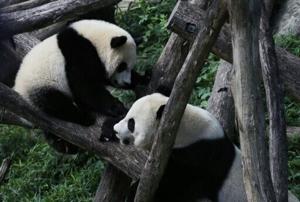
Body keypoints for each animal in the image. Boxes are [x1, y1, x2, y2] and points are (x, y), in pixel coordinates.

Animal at [14, 19, 150, 154]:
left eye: (129, 66)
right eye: (121, 66)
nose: (126, 82)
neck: (93, 40)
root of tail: (18, 90)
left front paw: (143, 78)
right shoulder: (77, 53)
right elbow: (85, 86)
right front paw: (118, 107)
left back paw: (64, 145)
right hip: (41, 86)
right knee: (56, 103)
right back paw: (85, 119)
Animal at [113, 93, 298, 202]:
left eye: (131, 123)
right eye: (127, 115)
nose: (115, 130)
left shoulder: (199, 157)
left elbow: (176, 185)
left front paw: (134, 191)